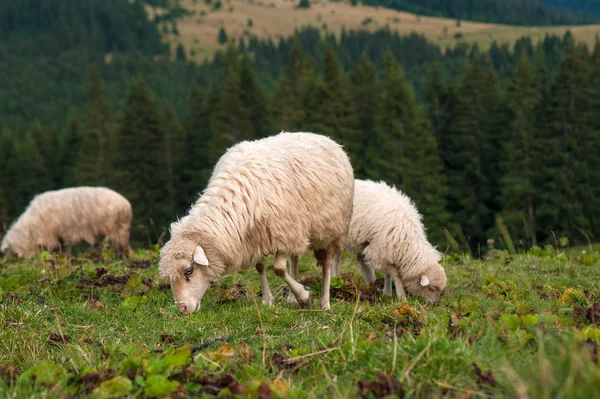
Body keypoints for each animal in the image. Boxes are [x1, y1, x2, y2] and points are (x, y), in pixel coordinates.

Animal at [0, 188, 132, 260]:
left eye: (12, 253)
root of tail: (126, 204)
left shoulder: (52, 235)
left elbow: (54, 250)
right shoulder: (61, 235)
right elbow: (64, 249)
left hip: (117, 229)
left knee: (124, 247)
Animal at [159, 133, 356, 314]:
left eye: (188, 271)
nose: (182, 309)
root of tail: (324, 137)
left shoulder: (284, 232)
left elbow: (278, 269)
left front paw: (304, 297)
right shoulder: (255, 236)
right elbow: (260, 266)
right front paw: (268, 300)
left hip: (333, 230)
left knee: (327, 265)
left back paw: (324, 302)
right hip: (301, 229)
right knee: (295, 259)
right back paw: (292, 299)